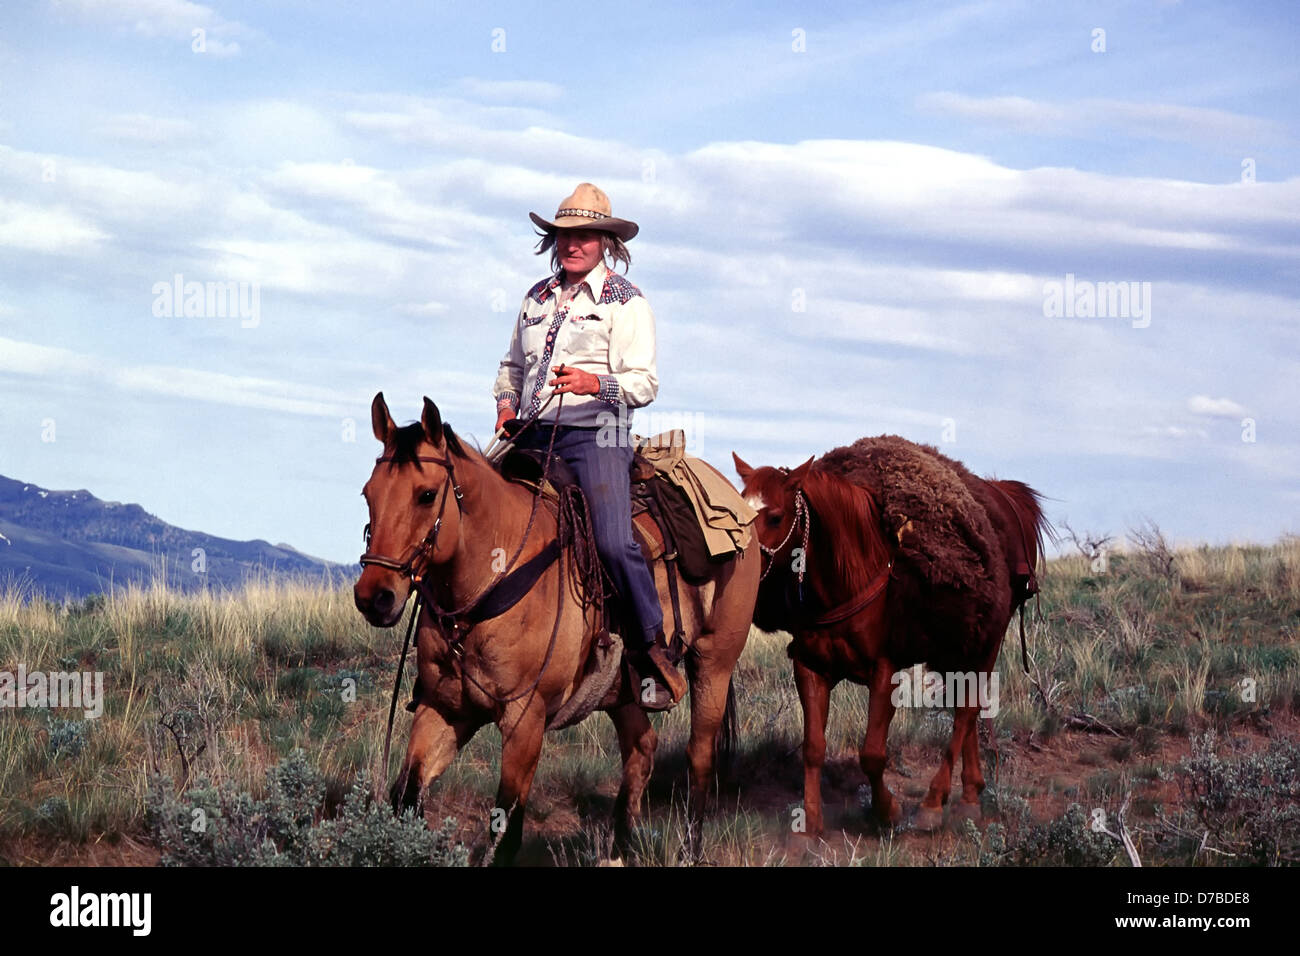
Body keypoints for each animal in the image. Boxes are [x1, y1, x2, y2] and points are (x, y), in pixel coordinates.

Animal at [356, 392, 759, 863]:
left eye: (426, 494)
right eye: (368, 493)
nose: (374, 597)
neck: (493, 573)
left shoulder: (525, 722)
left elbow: (506, 830)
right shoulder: (445, 709)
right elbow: (406, 796)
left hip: (714, 662)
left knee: (699, 755)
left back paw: (688, 852)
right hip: (622, 687)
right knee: (642, 749)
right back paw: (616, 852)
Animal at [738, 442, 1050, 837]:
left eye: (776, 517)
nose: (743, 564)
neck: (851, 572)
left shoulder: (885, 672)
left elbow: (872, 753)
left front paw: (888, 811)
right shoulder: (810, 667)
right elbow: (813, 747)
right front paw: (809, 826)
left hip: (986, 642)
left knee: (965, 712)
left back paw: (934, 803)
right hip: (957, 649)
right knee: (967, 708)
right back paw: (970, 795)